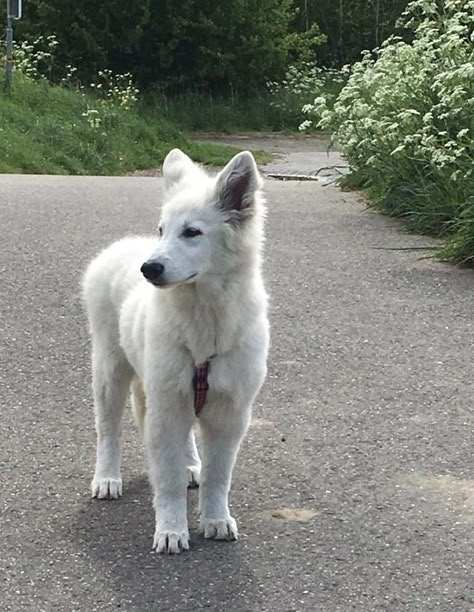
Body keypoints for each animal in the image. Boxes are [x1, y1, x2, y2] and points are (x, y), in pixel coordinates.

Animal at [83, 149, 268, 556]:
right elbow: (165, 481)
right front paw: (170, 530)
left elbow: (218, 476)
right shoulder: (166, 406)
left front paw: (215, 519)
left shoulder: (229, 412)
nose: (148, 268)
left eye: (192, 232)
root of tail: (122, 246)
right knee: (108, 430)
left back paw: (190, 467)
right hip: (110, 371)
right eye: (161, 230)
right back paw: (107, 478)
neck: (205, 317)